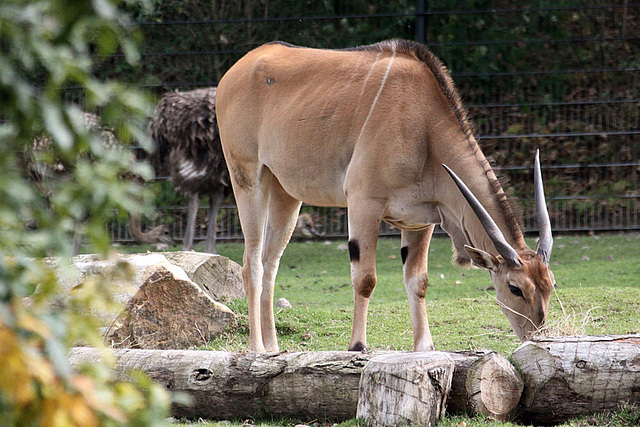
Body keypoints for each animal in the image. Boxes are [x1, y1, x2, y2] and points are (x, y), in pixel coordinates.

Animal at [216, 39, 556, 354]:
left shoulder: (421, 222)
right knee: (251, 264)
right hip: (247, 179)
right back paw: (257, 348)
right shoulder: (363, 203)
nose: (536, 336)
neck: (425, 126)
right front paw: (357, 345)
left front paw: (424, 346)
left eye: (550, 284)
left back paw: (273, 347)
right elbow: (365, 279)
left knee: (270, 263)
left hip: (285, 194)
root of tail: (235, 71)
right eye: (515, 288)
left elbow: (418, 281)